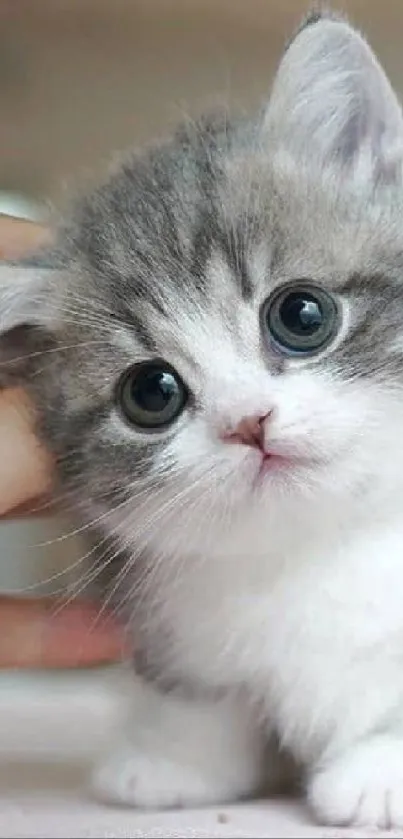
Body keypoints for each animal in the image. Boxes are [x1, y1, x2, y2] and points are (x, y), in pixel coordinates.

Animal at [3, 6, 403, 832]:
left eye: (302, 314)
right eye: (151, 392)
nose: (249, 421)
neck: (316, 543)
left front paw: (380, 769)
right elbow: (202, 698)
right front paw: (174, 760)